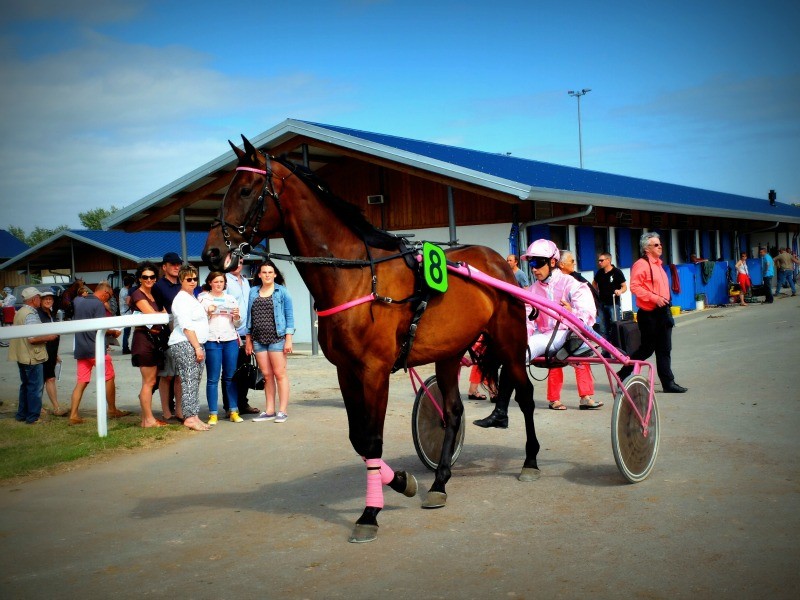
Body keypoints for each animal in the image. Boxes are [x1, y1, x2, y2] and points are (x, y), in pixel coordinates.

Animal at [203, 137, 540, 544]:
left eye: (246, 190)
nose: (211, 252)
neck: (356, 277)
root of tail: (498, 260)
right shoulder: (346, 371)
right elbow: (358, 439)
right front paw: (403, 482)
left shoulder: (375, 371)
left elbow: (373, 440)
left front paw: (370, 514)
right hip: (449, 351)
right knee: (453, 411)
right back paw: (439, 483)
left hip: (509, 338)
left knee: (525, 394)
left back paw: (531, 461)